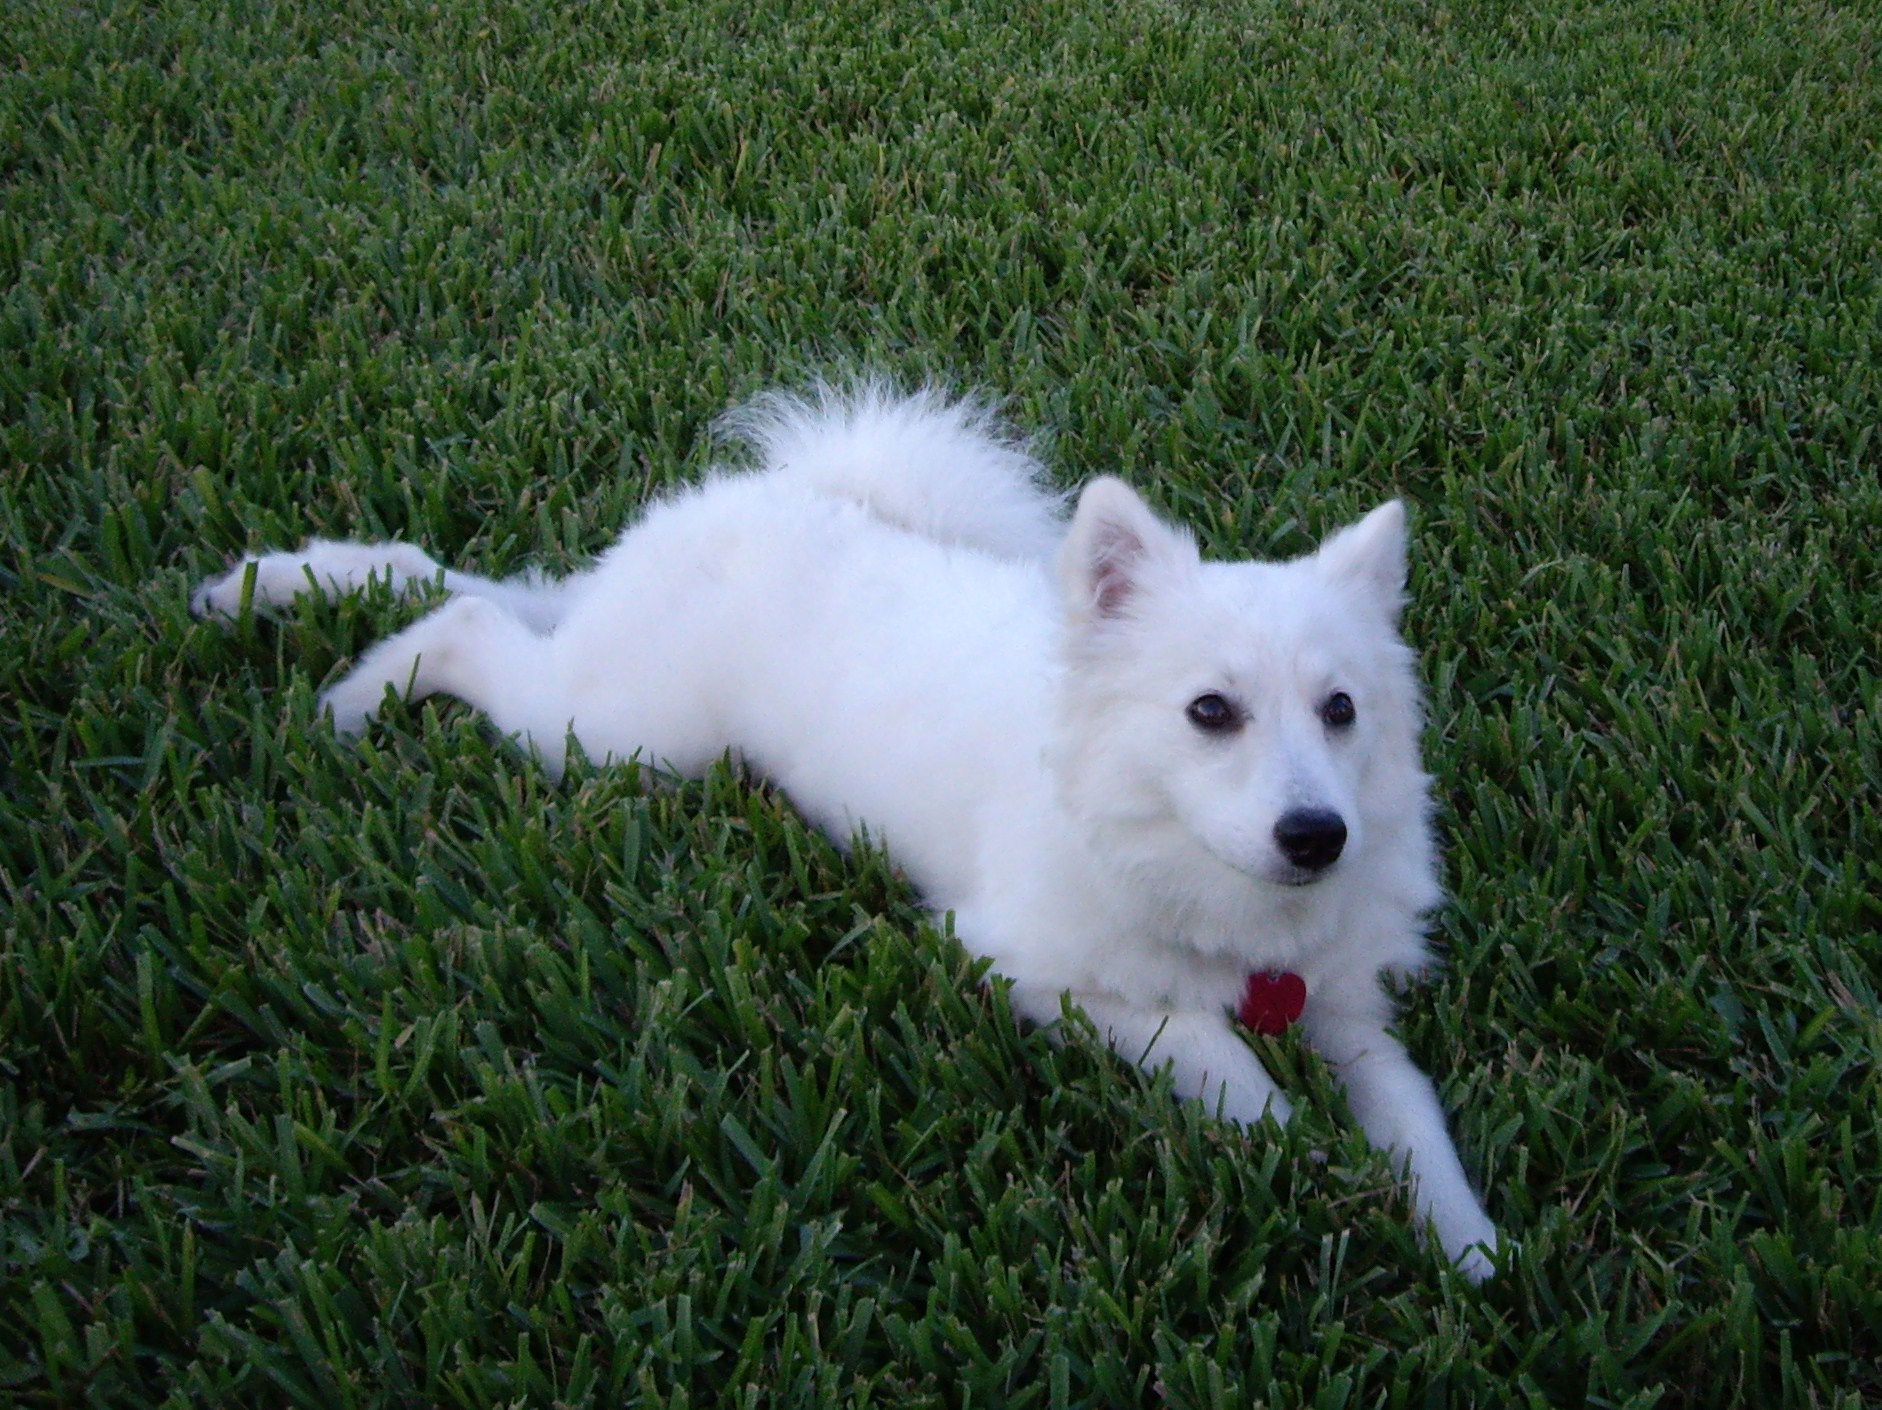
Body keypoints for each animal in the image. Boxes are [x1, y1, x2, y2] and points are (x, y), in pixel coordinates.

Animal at [194, 382, 1498, 1272]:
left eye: (1340, 711)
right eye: (1210, 713)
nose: (1316, 836)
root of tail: (747, 501)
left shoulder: (1348, 1009)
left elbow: (1414, 1116)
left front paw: (1468, 1246)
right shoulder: (1038, 971)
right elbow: (1232, 1072)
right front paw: (1311, 1166)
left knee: (469, 585)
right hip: (613, 734)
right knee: (465, 617)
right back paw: (359, 689)